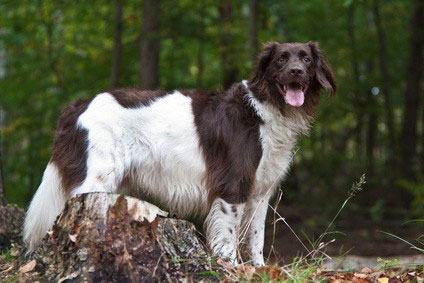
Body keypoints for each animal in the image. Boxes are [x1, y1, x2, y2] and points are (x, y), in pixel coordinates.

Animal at [23, 41, 336, 266]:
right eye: (281, 59)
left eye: (306, 60)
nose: (296, 72)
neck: (265, 109)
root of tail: (78, 105)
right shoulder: (232, 186)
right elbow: (229, 238)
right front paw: (232, 268)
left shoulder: (261, 193)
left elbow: (256, 239)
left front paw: (258, 270)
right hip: (95, 179)